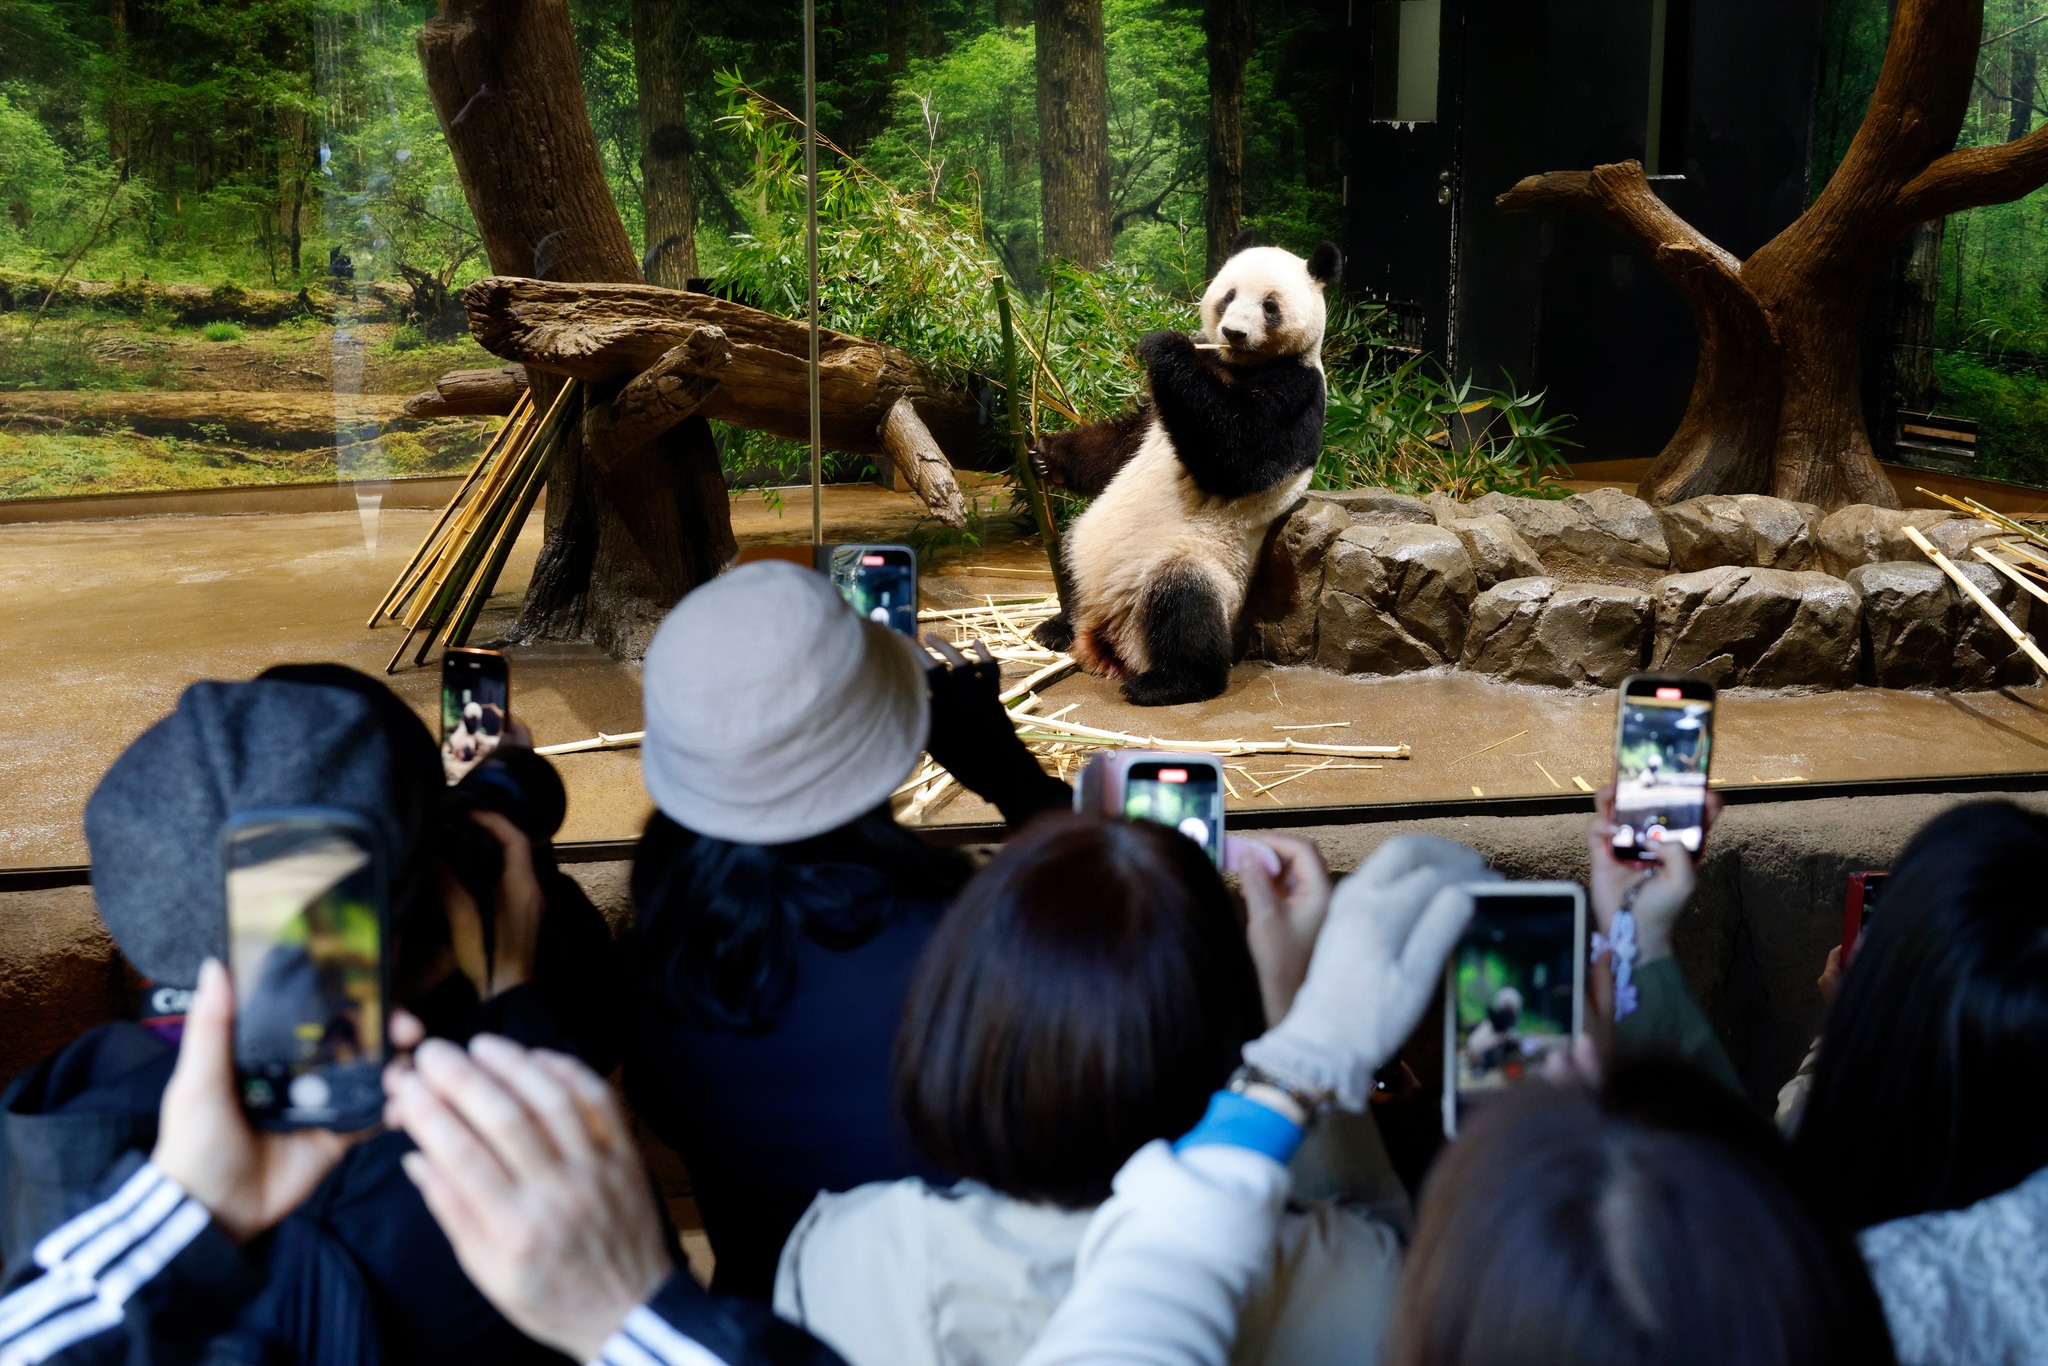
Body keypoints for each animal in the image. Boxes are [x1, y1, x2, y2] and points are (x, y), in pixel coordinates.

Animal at [1030, 232, 1341, 706]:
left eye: (1270, 306)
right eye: (1228, 295)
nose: (1233, 332)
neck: (1234, 364)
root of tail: (1107, 637)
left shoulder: (1298, 392)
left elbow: (1238, 457)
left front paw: (1165, 347)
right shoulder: (1158, 414)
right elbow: (1118, 446)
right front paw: (1046, 456)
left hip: (1199, 563)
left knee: (1185, 607)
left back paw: (1166, 683)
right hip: (1083, 548)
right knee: (1069, 561)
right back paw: (1054, 628)